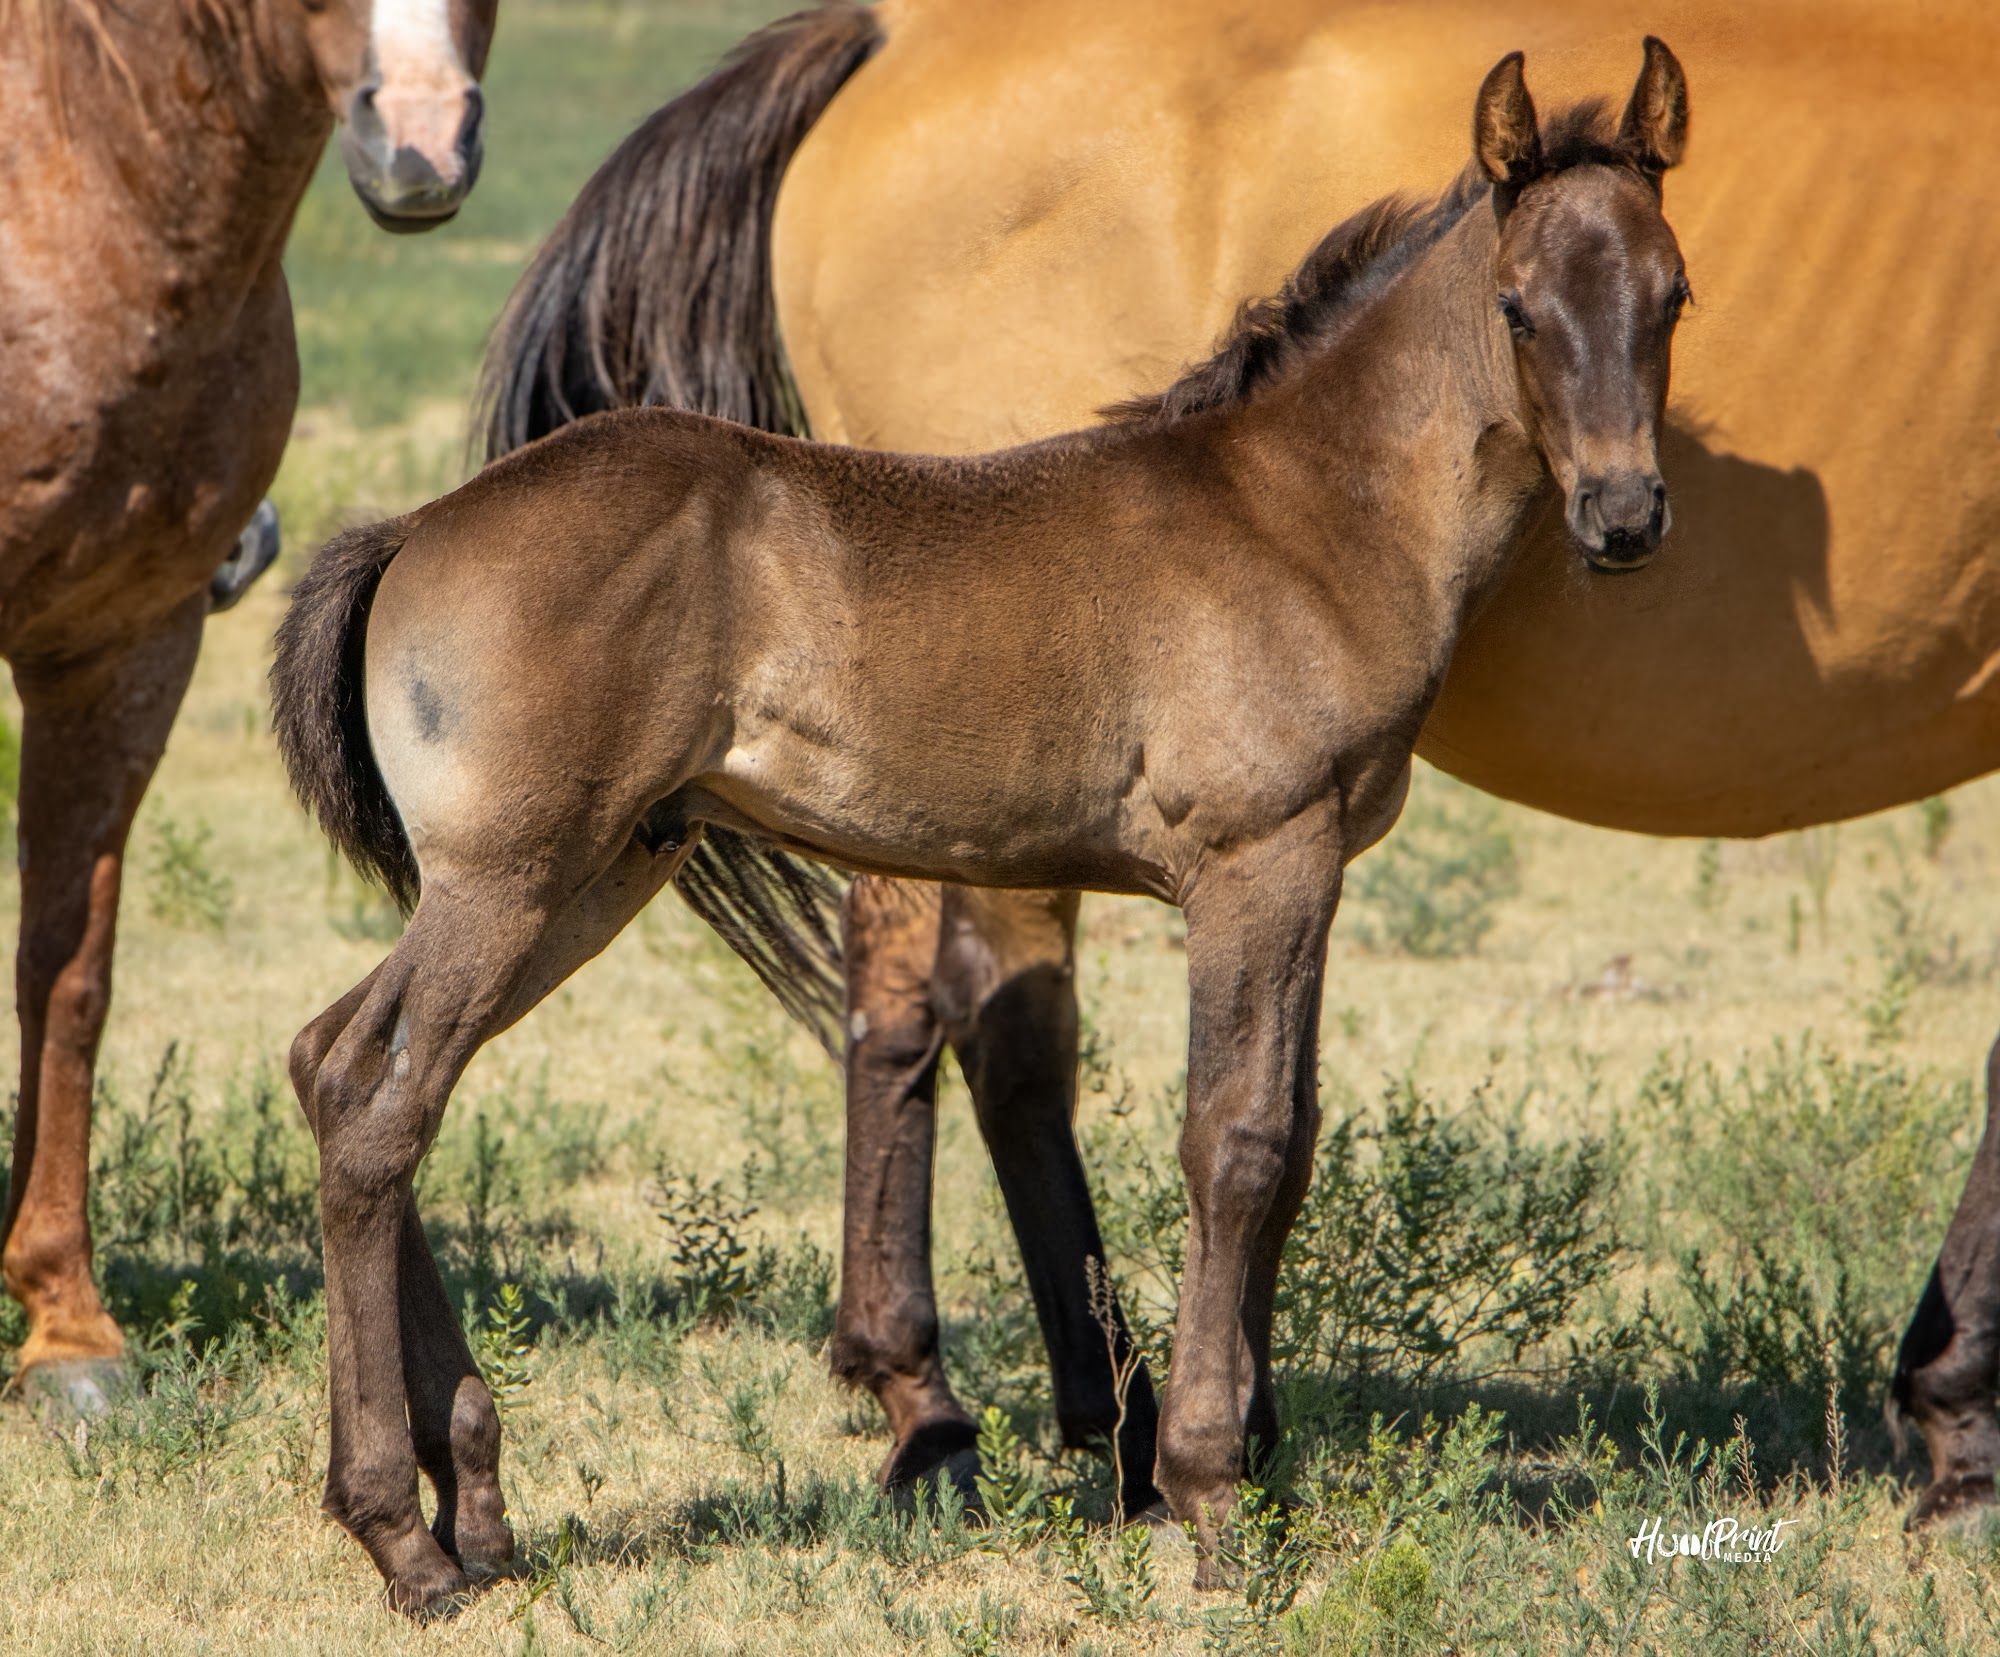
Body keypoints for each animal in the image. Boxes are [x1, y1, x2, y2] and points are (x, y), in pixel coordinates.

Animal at [274, 43, 1692, 1610]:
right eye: (1518, 306)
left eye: (1673, 292)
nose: (1625, 515)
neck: (1300, 513)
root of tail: (412, 529)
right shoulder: (1253, 862)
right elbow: (1236, 1141)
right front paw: (1203, 1489)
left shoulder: (1314, 866)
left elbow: (1294, 1141)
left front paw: (1256, 1470)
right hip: (514, 877)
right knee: (379, 1104)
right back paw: (402, 1536)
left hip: (593, 874)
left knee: (340, 1065)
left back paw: (474, 1502)